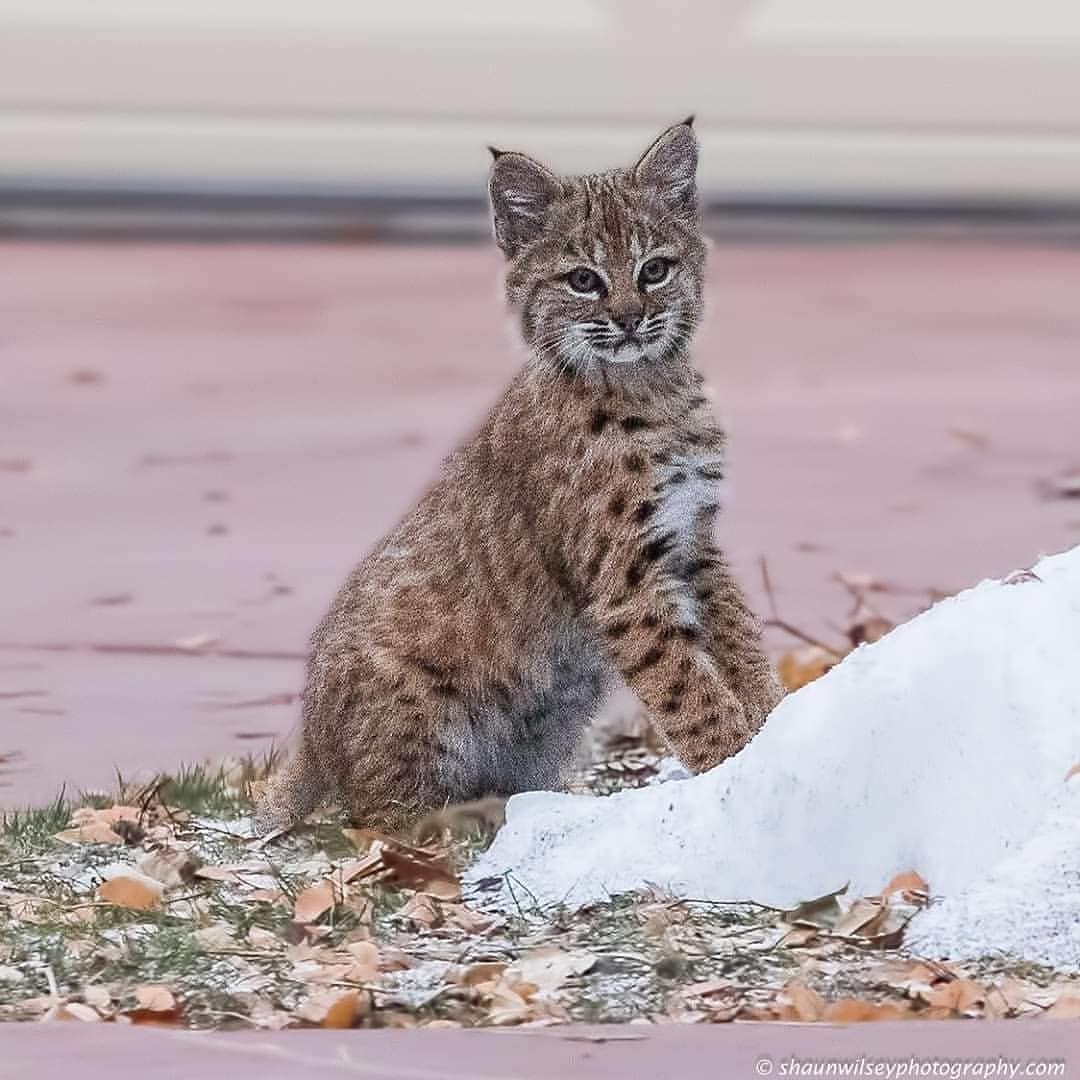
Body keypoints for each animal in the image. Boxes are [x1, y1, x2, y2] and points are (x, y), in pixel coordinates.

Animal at [257, 118, 781, 829]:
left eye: (654, 270)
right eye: (583, 280)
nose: (628, 320)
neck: (652, 385)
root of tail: (310, 736)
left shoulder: (691, 542)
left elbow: (742, 644)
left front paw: (781, 728)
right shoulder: (629, 581)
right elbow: (687, 690)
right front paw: (734, 767)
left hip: (554, 718)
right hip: (423, 712)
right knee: (373, 821)